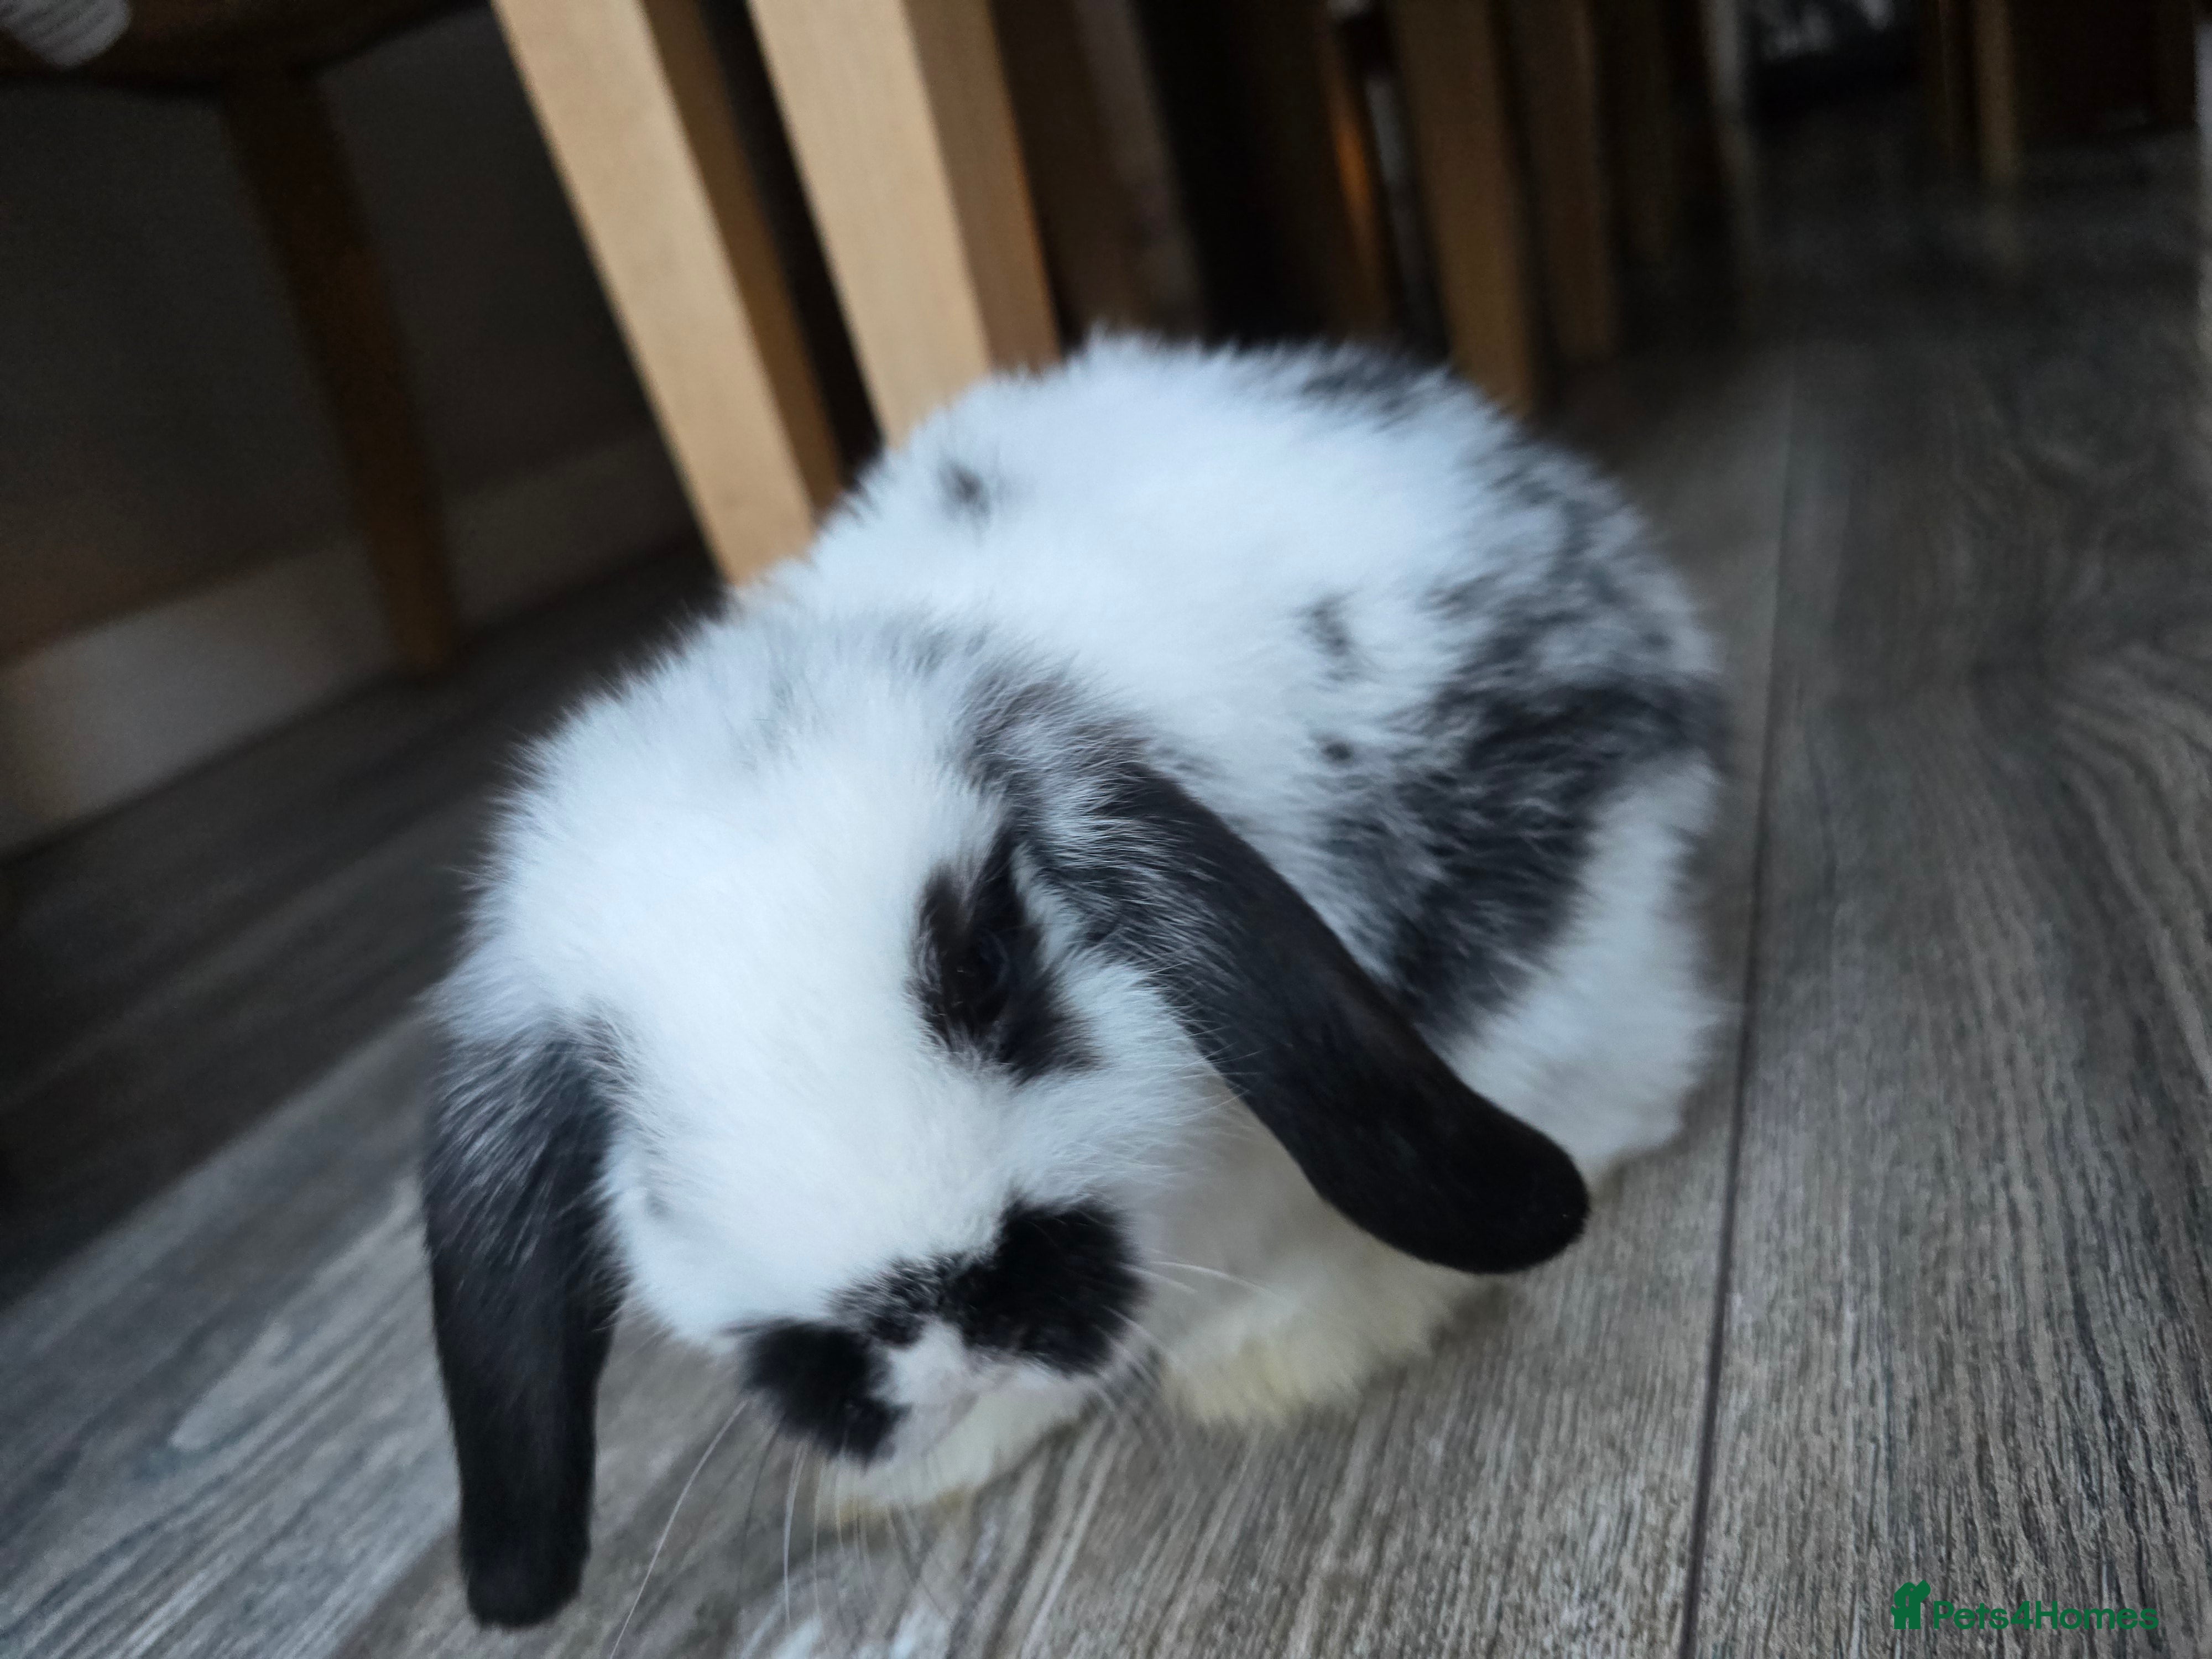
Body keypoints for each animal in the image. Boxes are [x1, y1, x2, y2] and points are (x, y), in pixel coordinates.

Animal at [421, 338, 1727, 1627]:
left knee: (1620, 1089)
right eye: (639, 1148)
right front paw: (924, 1470)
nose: (941, 1318)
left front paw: (1275, 1357)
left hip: (1565, 958)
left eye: (988, 967)